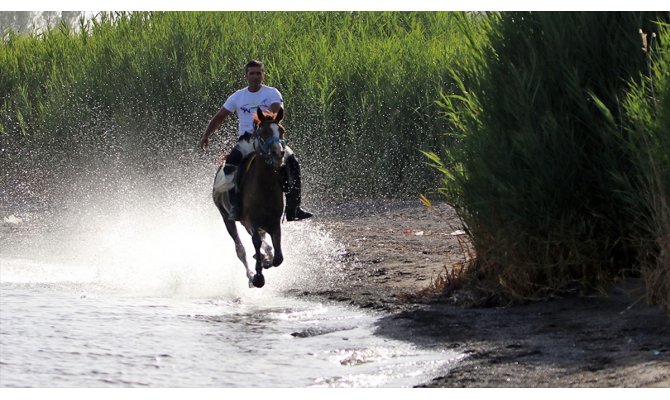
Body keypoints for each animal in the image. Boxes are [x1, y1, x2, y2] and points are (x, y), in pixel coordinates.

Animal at [215, 106, 286, 288]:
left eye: (281, 130)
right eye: (263, 133)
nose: (278, 153)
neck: (264, 187)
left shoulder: (274, 221)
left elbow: (278, 257)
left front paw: (267, 260)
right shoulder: (250, 220)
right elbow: (256, 242)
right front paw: (258, 277)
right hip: (227, 217)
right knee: (240, 248)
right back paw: (250, 275)